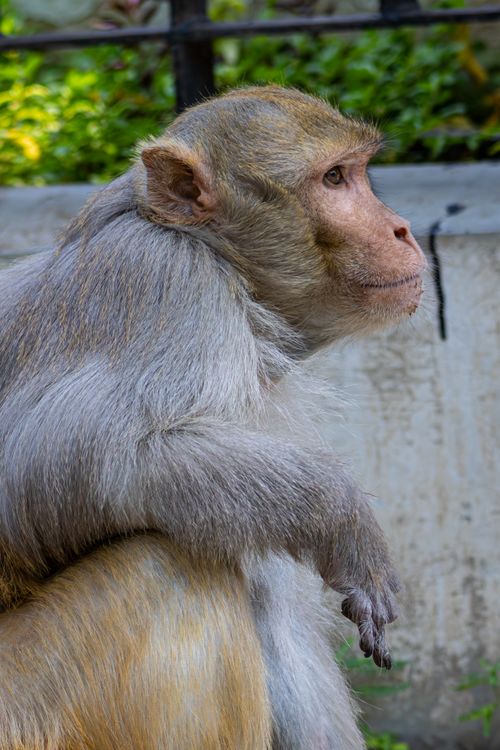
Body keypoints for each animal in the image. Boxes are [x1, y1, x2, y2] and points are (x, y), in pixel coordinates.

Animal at [0, 86, 426, 749]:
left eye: (356, 172)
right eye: (333, 178)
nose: (402, 229)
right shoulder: (164, 281)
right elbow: (85, 460)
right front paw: (343, 519)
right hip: (34, 711)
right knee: (163, 567)